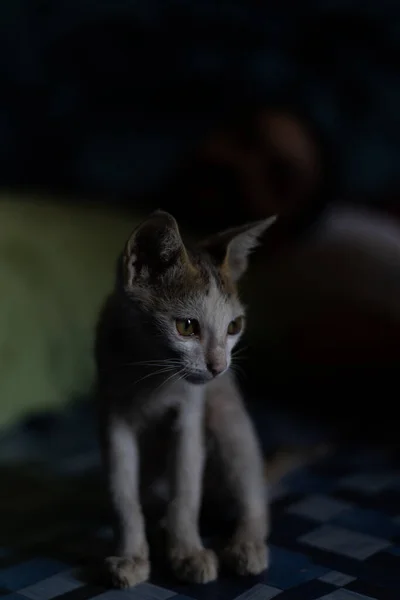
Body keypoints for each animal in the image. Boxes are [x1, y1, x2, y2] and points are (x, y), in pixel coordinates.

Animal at [95, 210, 276, 584]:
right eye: (187, 327)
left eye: (234, 327)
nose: (218, 367)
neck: (150, 373)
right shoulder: (111, 414)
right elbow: (122, 493)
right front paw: (130, 556)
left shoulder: (190, 414)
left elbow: (186, 491)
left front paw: (188, 553)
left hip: (226, 413)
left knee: (252, 491)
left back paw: (246, 546)